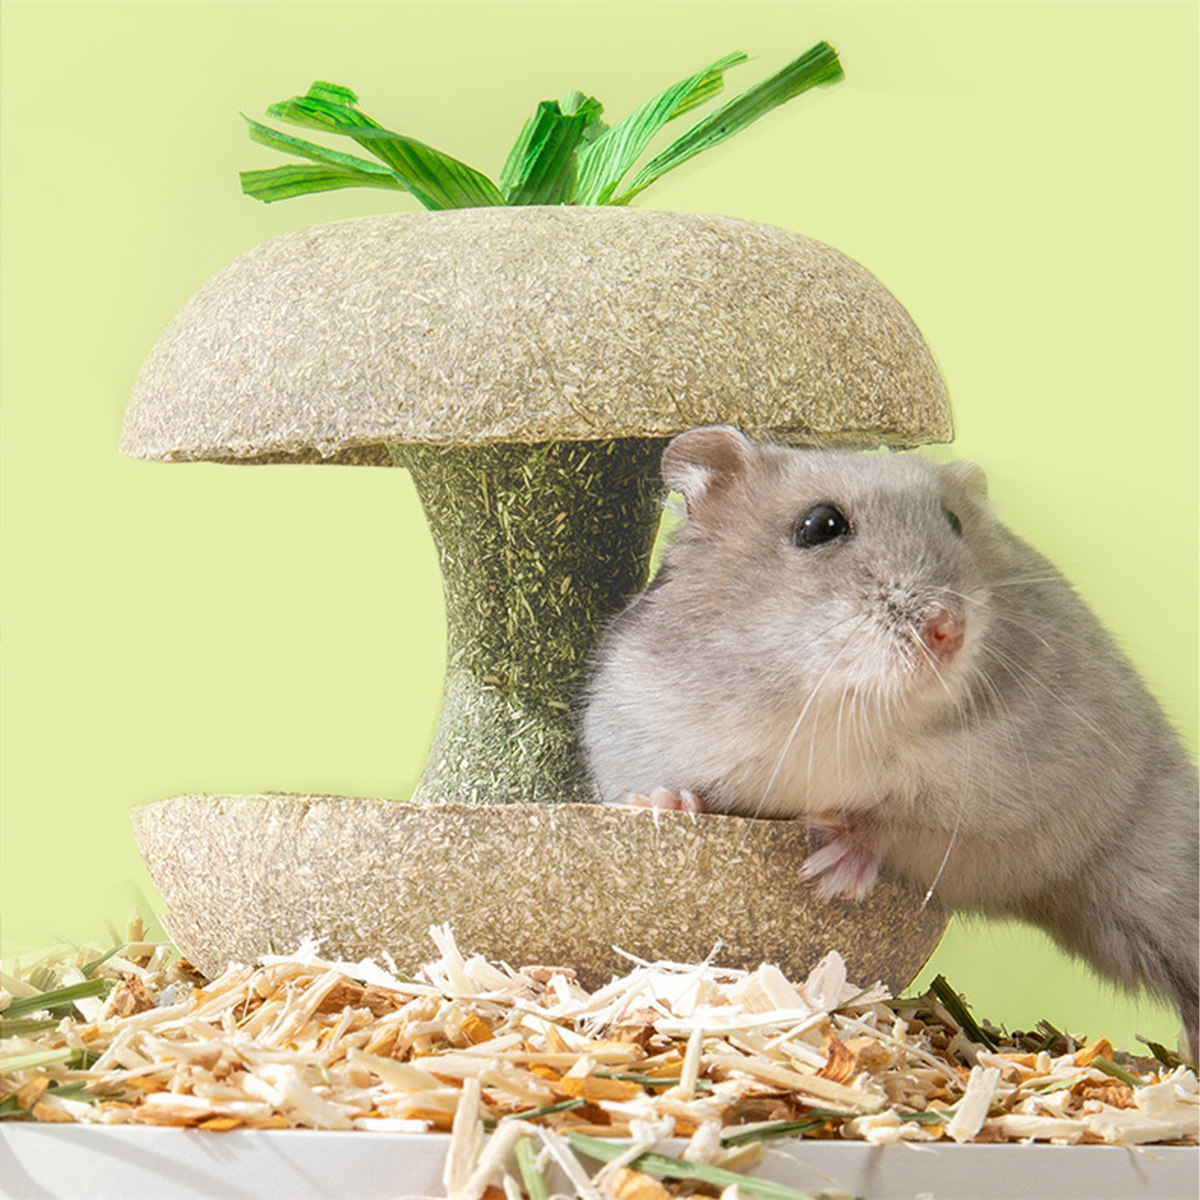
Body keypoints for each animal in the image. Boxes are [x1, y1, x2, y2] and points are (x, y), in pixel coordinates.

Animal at [581, 426, 1200, 1053]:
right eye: (820, 525)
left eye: (955, 522)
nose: (948, 629)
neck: (835, 705)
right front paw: (663, 805)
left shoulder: (1003, 816)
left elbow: (900, 823)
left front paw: (830, 872)